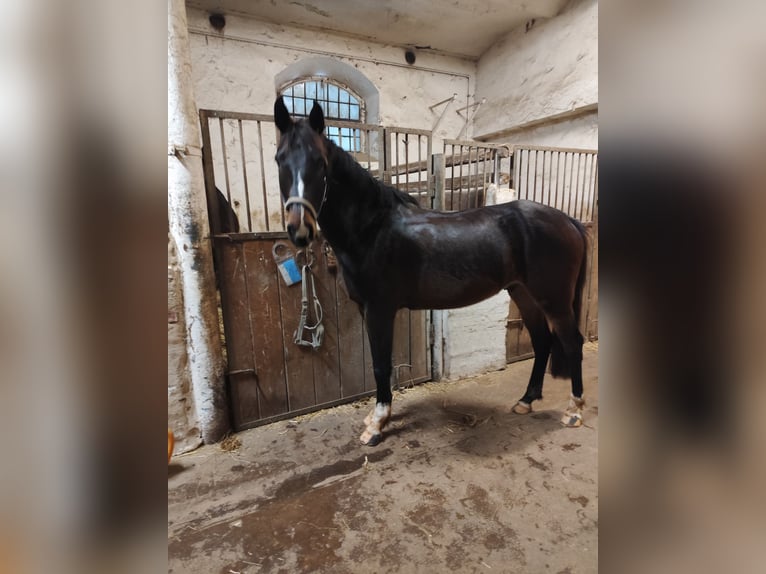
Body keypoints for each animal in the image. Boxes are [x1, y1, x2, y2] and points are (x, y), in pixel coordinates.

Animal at [274, 97, 589, 446]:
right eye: (279, 159)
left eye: (320, 162)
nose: (299, 229)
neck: (372, 228)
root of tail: (568, 221)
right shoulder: (366, 308)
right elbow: (381, 362)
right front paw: (378, 416)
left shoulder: (379, 309)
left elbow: (381, 365)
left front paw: (377, 424)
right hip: (524, 293)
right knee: (543, 341)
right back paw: (526, 401)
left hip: (554, 299)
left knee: (572, 343)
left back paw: (574, 411)